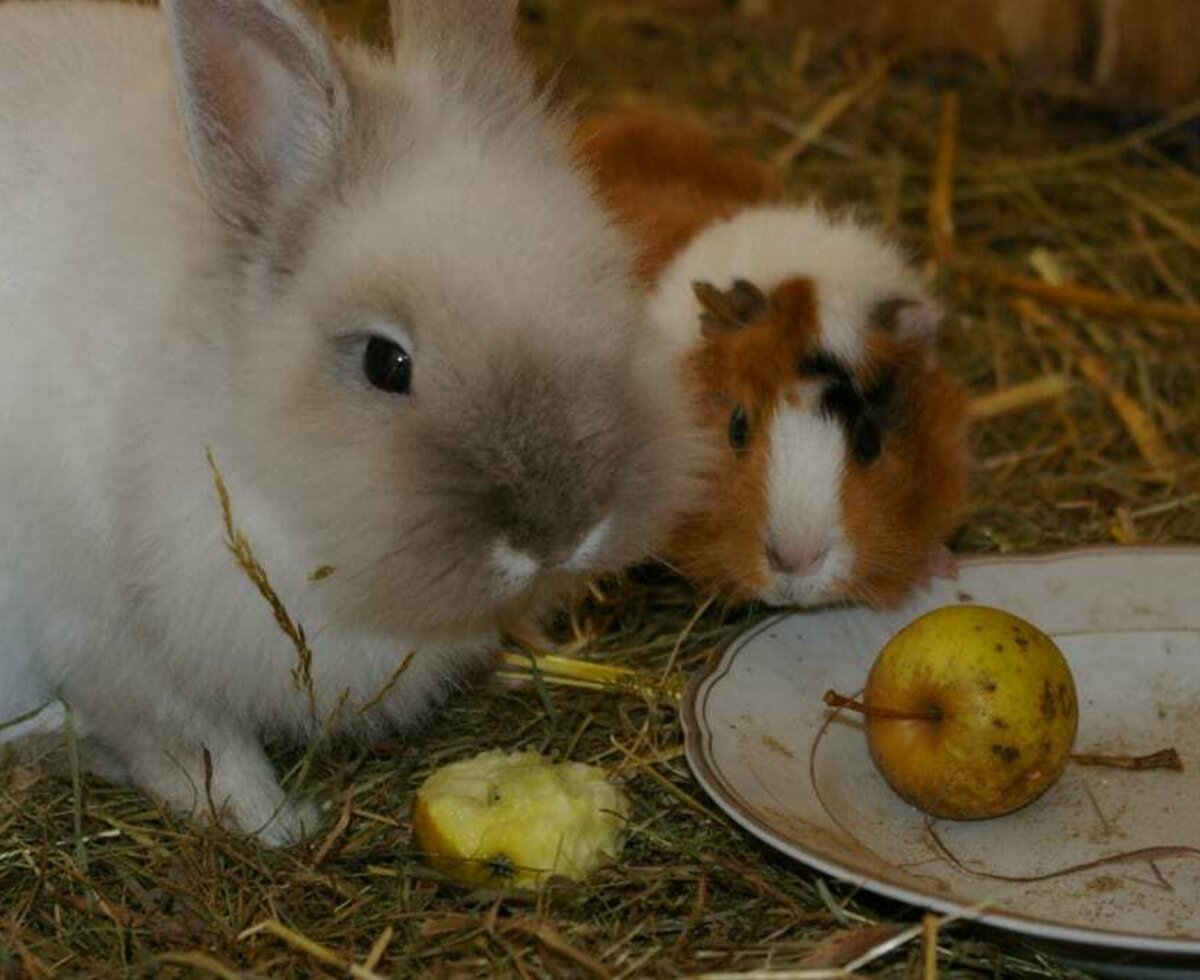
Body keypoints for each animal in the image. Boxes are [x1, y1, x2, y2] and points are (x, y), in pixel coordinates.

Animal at [0, 0, 700, 839]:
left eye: (607, 290)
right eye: (384, 363)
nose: (561, 532)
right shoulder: (113, 640)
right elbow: (195, 747)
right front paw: (275, 823)